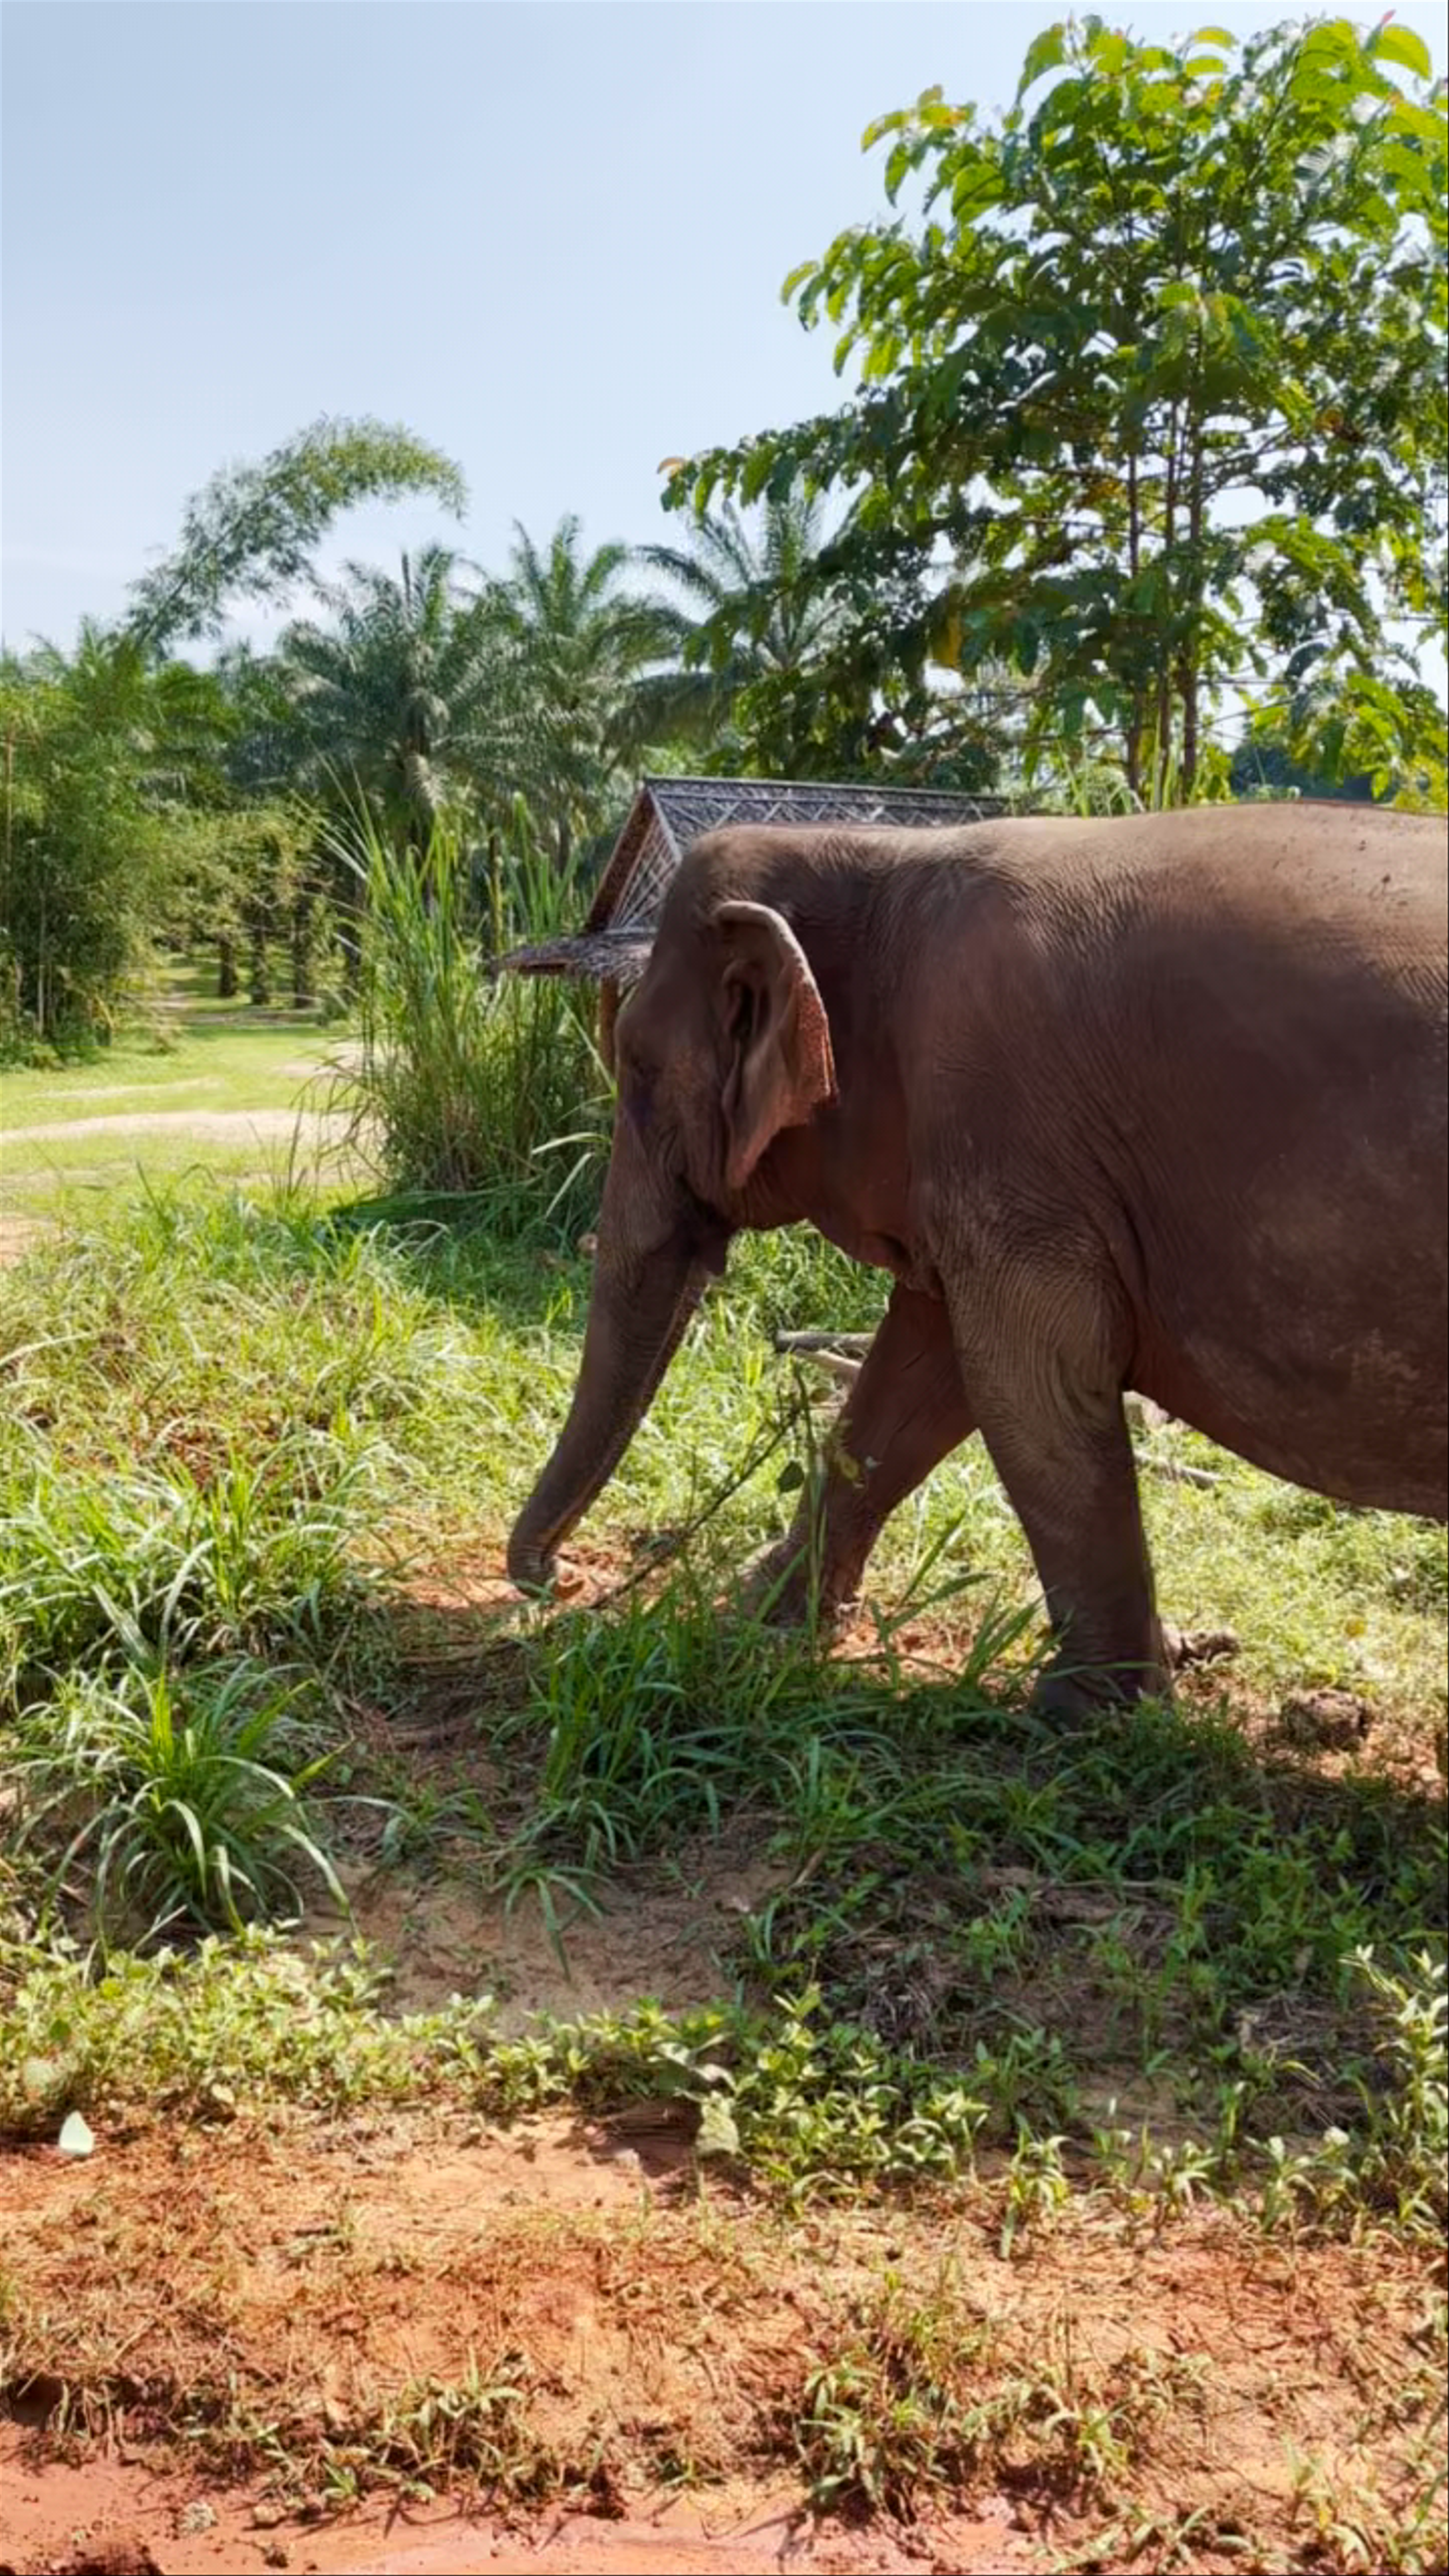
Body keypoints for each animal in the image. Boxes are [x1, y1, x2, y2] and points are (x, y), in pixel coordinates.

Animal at [508, 805, 1447, 1713]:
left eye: (637, 1067)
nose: (556, 1581)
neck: (881, 856)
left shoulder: (1009, 1129)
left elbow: (1029, 1375)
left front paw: (1090, 1708)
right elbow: (919, 1375)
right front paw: (762, 1612)